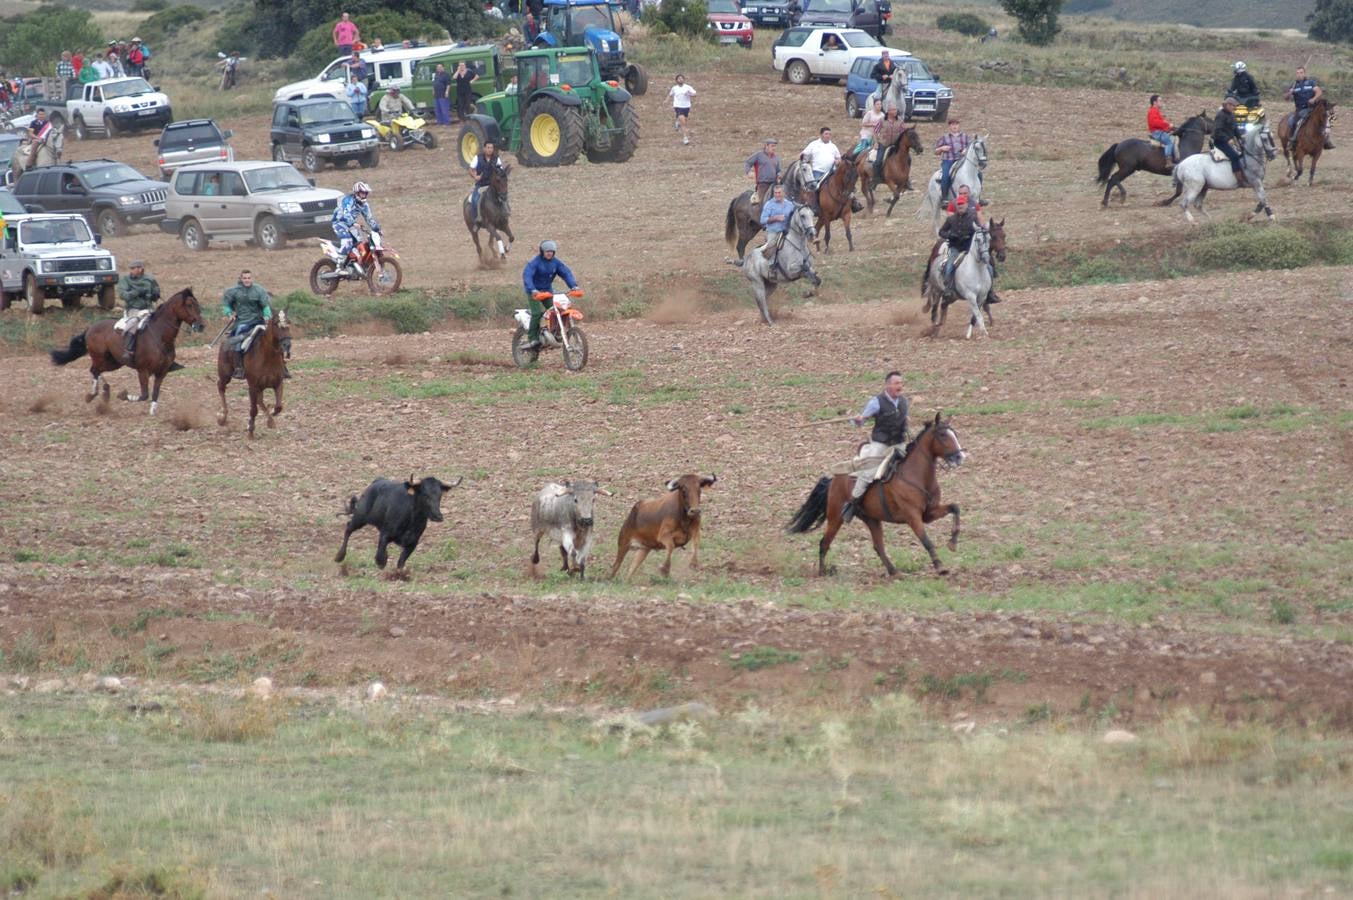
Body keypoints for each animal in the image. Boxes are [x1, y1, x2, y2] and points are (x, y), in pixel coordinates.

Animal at [50, 285, 204, 416]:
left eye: (197, 305)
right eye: (189, 305)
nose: (201, 326)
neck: (160, 336)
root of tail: (90, 328)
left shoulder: (162, 372)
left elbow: (155, 393)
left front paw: (152, 412)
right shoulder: (143, 371)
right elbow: (144, 395)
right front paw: (123, 395)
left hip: (114, 362)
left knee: (97, 370)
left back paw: (105, 390)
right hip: (100, 357)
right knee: (94, 370)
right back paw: (93, 394)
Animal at [215, 308, 292, 438]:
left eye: (289, 322)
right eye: (276, 324)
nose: (287, 345)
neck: (268, 356)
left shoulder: (278, 384)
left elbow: (278, 407)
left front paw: (271, 416)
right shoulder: (252, 386)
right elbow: (253, 410)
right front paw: (250, 430)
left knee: (260, 401)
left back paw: (270, 420)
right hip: (225, 375)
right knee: (221, 387)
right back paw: (223, 418)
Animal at [790, 414, 968, 576]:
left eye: (954, 434)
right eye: (942, 435)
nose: (959, 457)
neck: (917, 476)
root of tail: (834, 479)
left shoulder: (929, 514)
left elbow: (955, 508)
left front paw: (952, 543)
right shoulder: (913, 517)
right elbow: (926, 540)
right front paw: (940, 567)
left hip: (872, 519)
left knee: (878, 546)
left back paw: (894, 572)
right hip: (835, 518)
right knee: (824, 543)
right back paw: (822, 573)